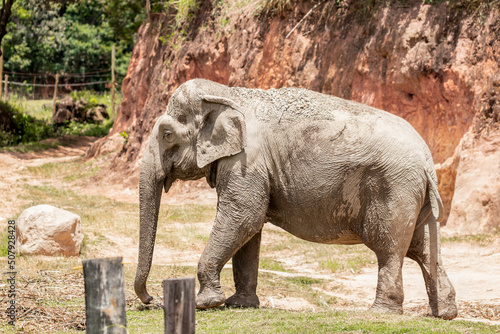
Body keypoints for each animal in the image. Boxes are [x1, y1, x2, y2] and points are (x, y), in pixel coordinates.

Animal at [133, 77, 458, 318]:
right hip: (413, 193)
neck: (229, 93)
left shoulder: (246, 160)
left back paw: (380, 313)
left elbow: (243, 217)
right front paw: (240, 304)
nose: (149, 300)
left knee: (389, 247)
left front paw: (206, 304)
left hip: (393, 188)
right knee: (424, 248)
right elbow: (249, 229)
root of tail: (427, 159)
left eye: (166, 134)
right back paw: (444, 313)